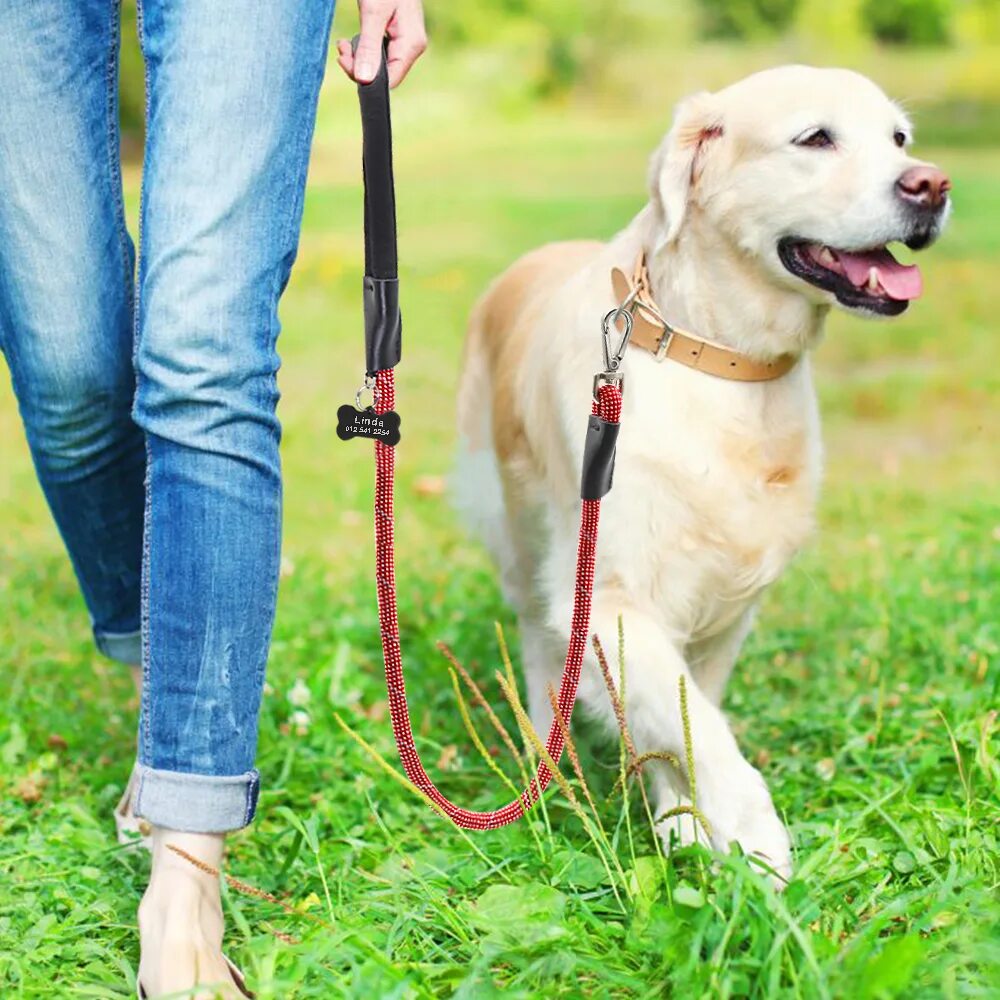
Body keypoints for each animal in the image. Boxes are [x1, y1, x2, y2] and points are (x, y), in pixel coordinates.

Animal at [458, 66, 948, 880]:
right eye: (816, 137)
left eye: (900, 138)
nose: (932, 184)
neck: (722, 360)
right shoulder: (610, 594)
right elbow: (702, 730)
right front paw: (757, 842)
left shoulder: (727, 604)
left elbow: (685, 718)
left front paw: (683, 818)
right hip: (519, 530)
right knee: (535, 639)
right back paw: (542, 749)